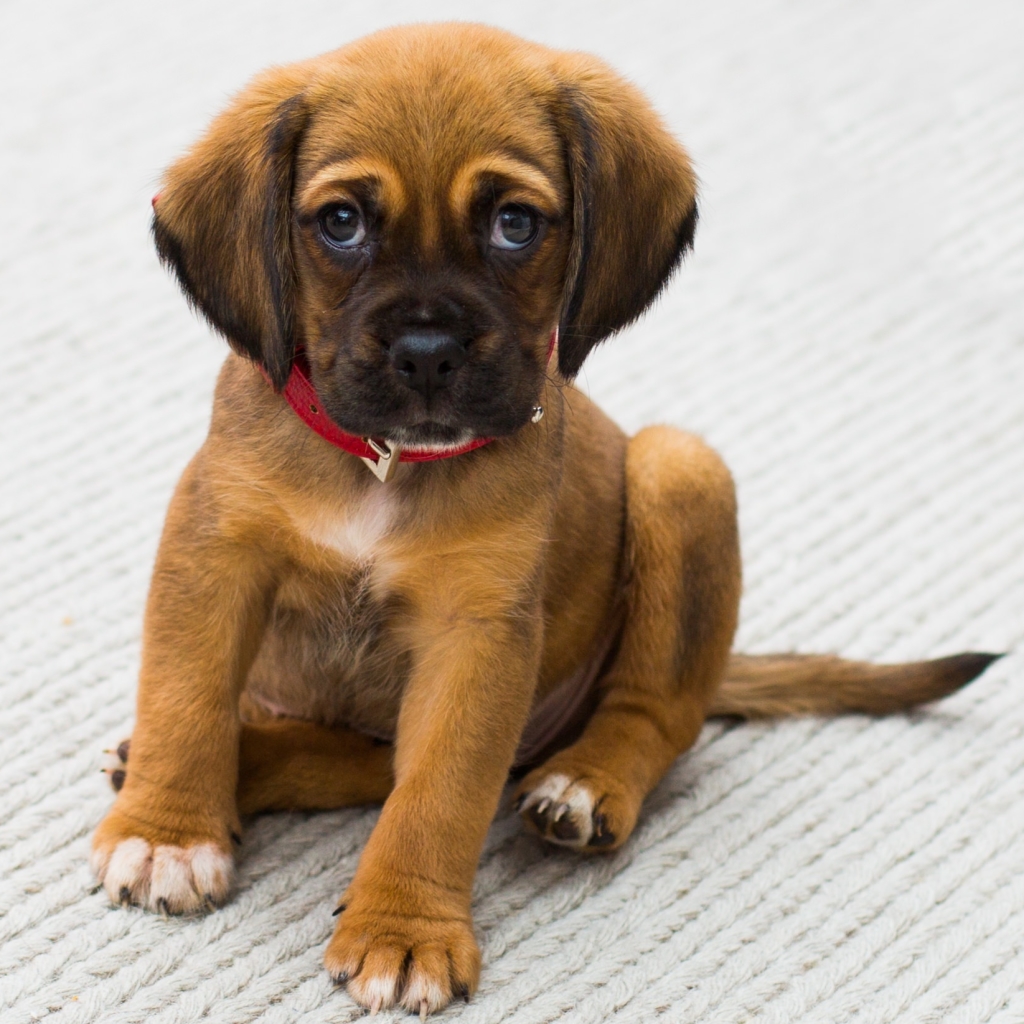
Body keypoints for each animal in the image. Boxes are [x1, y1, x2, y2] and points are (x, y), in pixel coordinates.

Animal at [92, 24, 995, 1015]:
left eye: (514, 224)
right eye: (341, 223)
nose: (427, 353)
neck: (385, 465)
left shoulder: (476, 636)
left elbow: (439, 795)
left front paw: (404, 930)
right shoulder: (213, 556)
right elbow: (186, 698)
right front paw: (169, 831)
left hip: (681, 469)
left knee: (654, 715)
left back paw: (587, 783)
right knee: (358, 761)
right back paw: (231, 764)